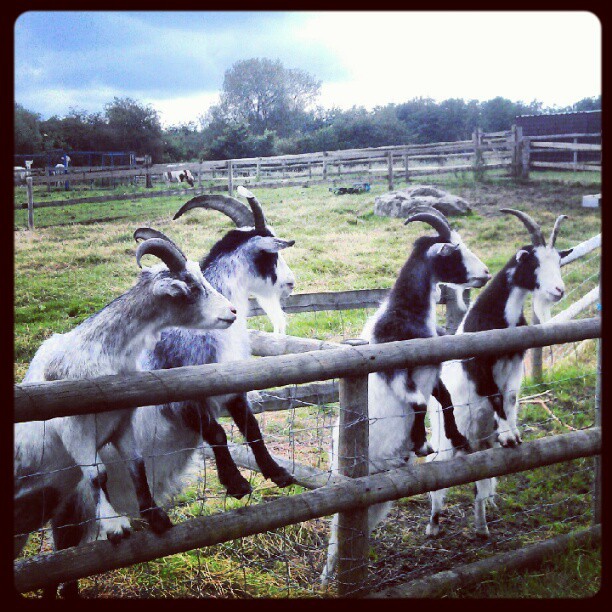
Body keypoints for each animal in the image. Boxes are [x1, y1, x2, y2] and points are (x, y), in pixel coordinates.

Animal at [14, 234, 237, 564]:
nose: (232, 312)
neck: (99, 353)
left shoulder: (122, 422)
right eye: (191, 288)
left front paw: (156, 517)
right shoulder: (73, 430)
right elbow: (97, 475)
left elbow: (137, 465)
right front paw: (115, 526)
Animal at [318, 208, 490, 584]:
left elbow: (444, 399)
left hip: (378, 498)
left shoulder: (430, 370)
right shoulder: (399, 373)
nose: (485, 273)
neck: (405, 315)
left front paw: (456, 437)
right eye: (454, 251)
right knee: (337, 528)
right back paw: (327, 576)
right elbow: (419, 404)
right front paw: (421, 444)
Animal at [426, 209, 572, 536]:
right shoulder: (478, 365)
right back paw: (433, 525)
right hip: (446, 437)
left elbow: (511, 397)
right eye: (533, 262)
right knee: (438, 479)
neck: (500, 319)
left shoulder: (515, 363)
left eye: (558, 261)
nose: (559, 291)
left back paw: (481, 528)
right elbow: (494, 395)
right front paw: (509, 437)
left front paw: (513, 434)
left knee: (480, 484)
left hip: (481, 443)